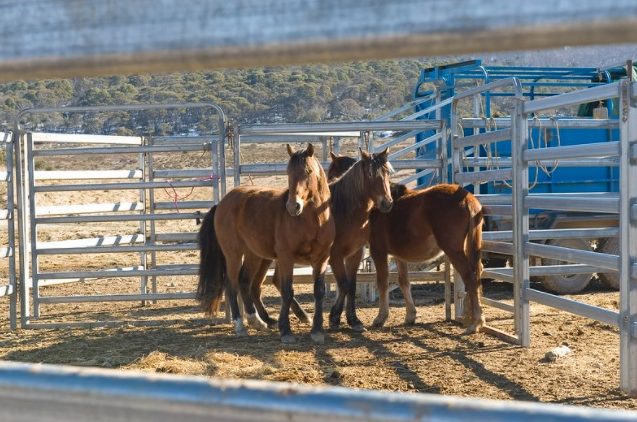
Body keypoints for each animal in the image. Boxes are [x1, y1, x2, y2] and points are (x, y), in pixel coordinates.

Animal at [198, 144, 336, 342]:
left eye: (308, 171)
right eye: (288, 172)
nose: (293, 206)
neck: (313, 220)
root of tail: (223, 202)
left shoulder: (321, 259)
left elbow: (319, 291)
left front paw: (317, 330)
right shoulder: (286, 258)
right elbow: (287, 291)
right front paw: (286, 331)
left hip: (254, 255)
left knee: (245, 282)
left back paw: (257, 321)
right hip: (233, 254)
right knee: (232, 284)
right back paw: (240, 324)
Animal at [250, 148, 392, 332]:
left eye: (387, 172)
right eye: (369, 173)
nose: (387, 203)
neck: (345, 210)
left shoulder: (355, 254)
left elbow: (351, 286)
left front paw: (353, 320)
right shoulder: (335, 255)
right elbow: (343, 284)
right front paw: (335, 317)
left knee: (268, 282)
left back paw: (298, 315)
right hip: (263, 256)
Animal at [326, 152, 484, 332]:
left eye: (331, 174)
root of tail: (468, 199)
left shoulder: (378, 251)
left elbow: (382, 282)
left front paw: (381, 317)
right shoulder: (398, 254)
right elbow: (404, 282)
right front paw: (410, 315)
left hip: (454, 250)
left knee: (470, 277)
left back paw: (476, 321)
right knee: (477, 272)